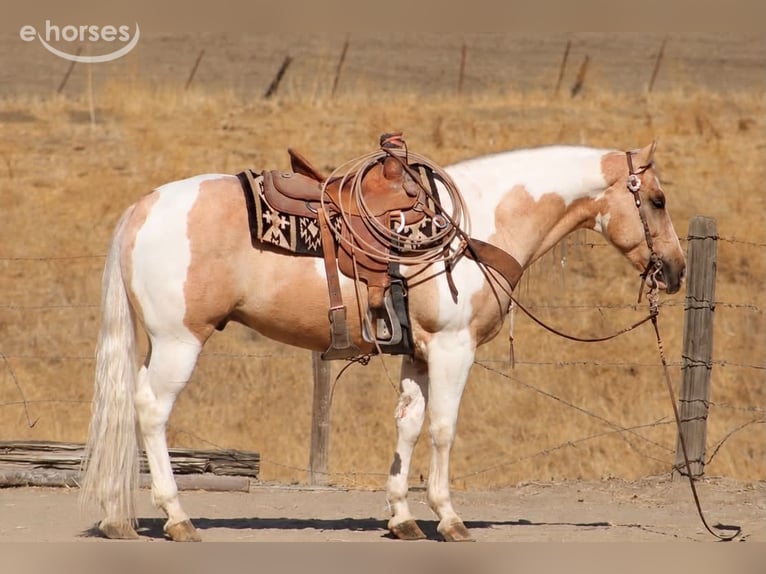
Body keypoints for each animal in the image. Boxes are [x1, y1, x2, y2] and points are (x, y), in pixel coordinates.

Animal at [79, 140, 686, 542]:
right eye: (656, 200)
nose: (676, 271)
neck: (477, 226)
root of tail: (142, 207)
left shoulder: (419, 354)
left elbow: (409, 426)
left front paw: (402, 518)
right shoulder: (452, 349)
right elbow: (443, 429)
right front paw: (448, 518)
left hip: (160, 343)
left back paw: (116, 516)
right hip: (180, 342)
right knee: (150, 411)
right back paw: (176, 517)